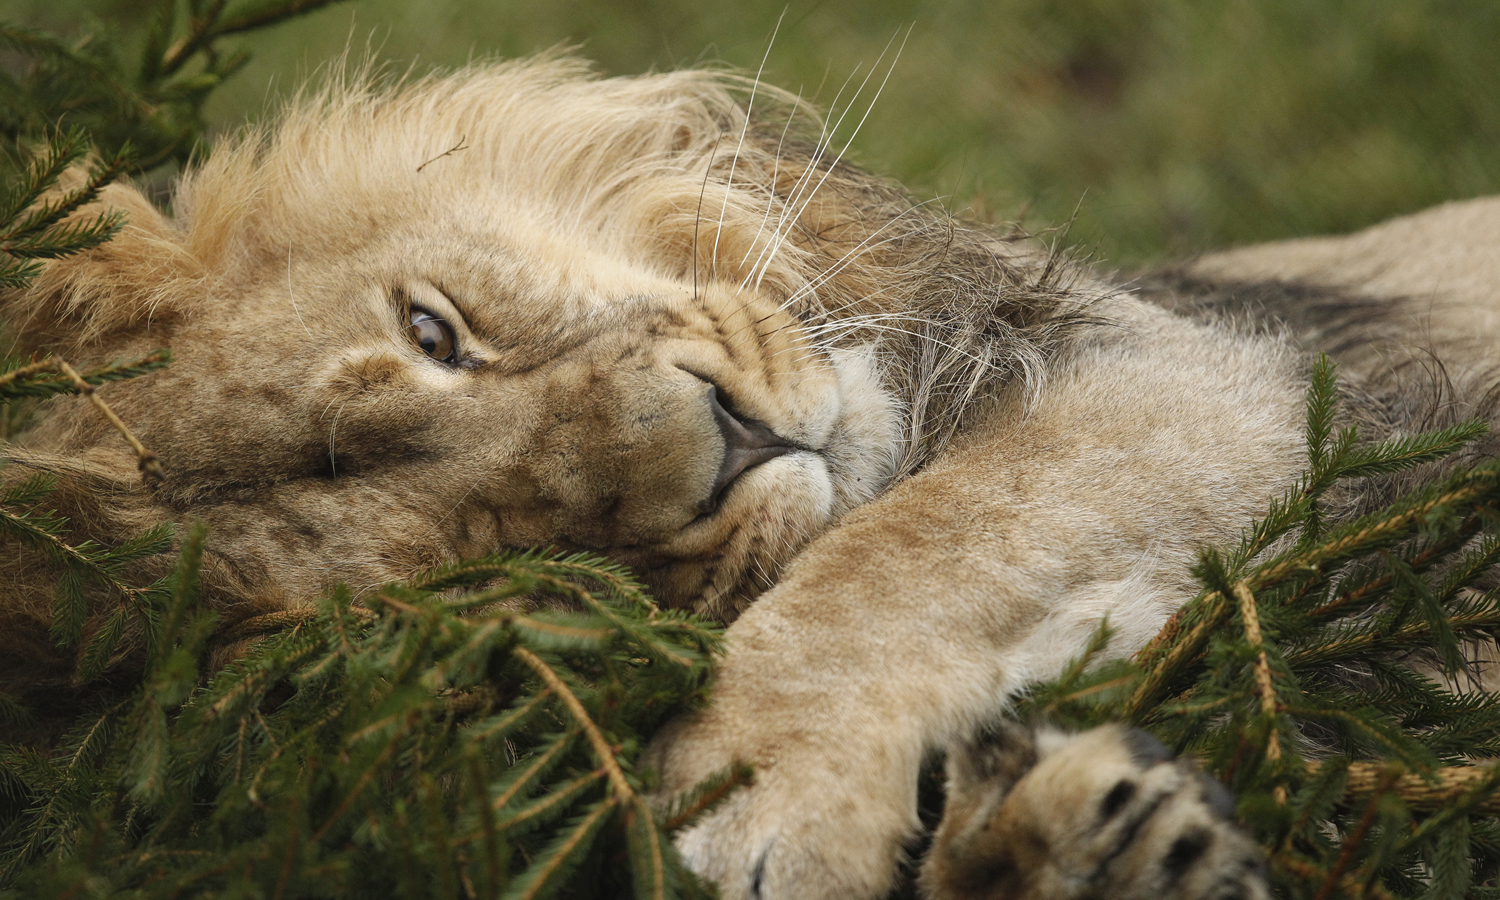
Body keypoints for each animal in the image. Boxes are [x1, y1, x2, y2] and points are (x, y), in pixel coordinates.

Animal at [5, 56, 1494, 900]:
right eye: (523, 560)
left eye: (433, 334)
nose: (719, 441)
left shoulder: (1226, 379)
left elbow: (909, 549)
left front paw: (766, 805)